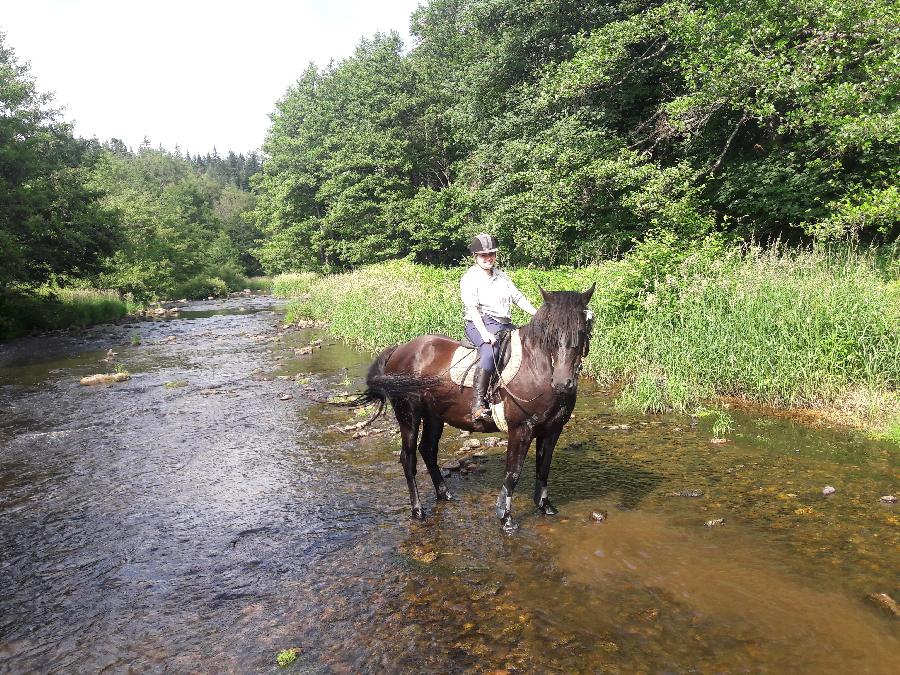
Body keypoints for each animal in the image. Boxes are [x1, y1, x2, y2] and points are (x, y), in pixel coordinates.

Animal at [356, 282, 596, 532]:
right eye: (550, 334)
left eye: (582, 331)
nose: (562, 383)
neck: (537, 368)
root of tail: (399, 350)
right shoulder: (520, 429)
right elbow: (513, 473)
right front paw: (505, 518)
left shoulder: (552, 429)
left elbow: (544, 469)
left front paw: (545, 506)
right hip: (408, 414)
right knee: (408, 458)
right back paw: (418, 510)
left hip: (434, 416)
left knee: (428, 451)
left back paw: (445, 494)